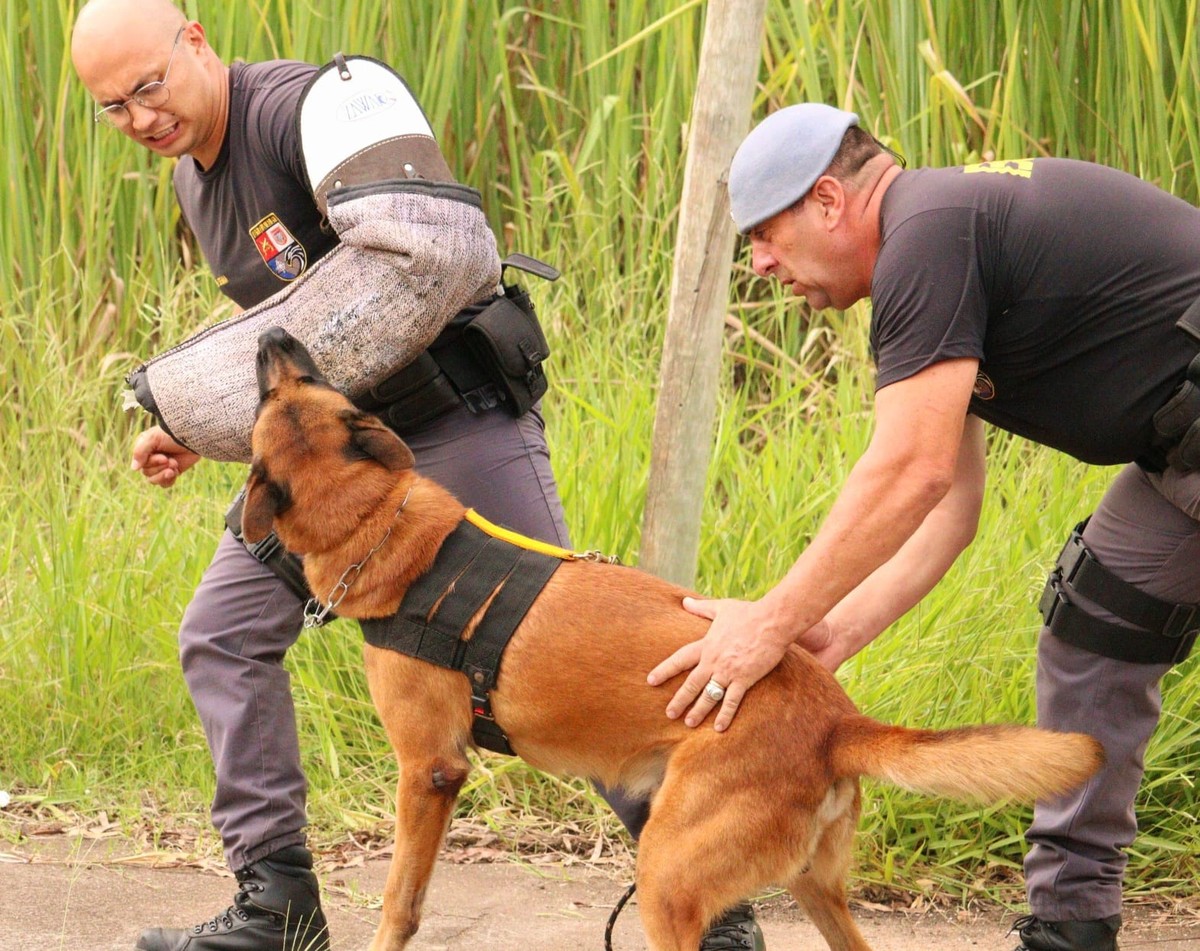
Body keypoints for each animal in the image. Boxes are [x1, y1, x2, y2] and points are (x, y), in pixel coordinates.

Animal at [242, 327, 1104, 951]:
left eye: (290, 382)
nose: (272, 333)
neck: (377, 523)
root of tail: (838, 721)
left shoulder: (429, 772)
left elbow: (400, 904)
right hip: (809, 885)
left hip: (665, 879)